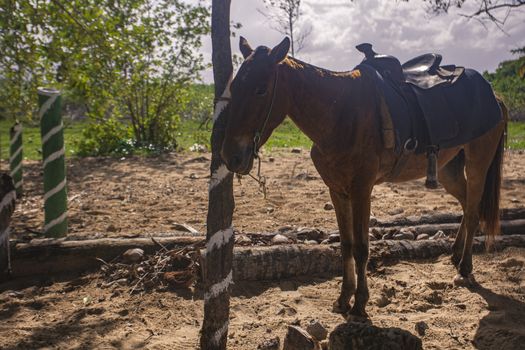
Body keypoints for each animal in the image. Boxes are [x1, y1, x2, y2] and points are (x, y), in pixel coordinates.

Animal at [219, 37, 506, 318]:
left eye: (261, 90)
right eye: (234, 87)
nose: (231, 156)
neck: (340, 115)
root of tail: (494, 95)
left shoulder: (361, 191)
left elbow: (361, 248)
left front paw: (360, 303)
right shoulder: (337, 191)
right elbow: (346, 245)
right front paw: (343, 298)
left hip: (478, 163)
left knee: (473, 212)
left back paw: (465, 268)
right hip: (449, 170)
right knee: (467, 204)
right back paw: (456, 256)